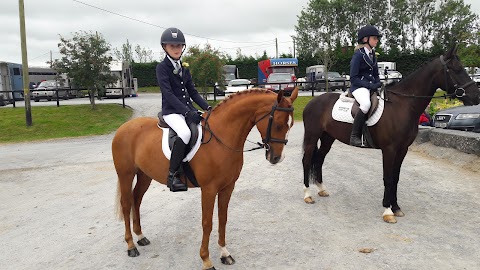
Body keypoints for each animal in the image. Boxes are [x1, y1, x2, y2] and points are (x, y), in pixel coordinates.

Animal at [113, 88, 298, 268]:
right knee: (126, 204)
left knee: (136, 199)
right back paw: (131, 246)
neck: (222, 137)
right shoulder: (209, 189)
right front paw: (206, 260)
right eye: (278, 124)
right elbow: (207, 223)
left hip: (145, 175)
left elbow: (222, 219)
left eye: (291, 125)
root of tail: (123, 128)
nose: (276, 158)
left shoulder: (228, 187)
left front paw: (224, 253)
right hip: (126, 174)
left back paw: (140, 236)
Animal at [302, 46, 478, 224]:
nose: (475, 95)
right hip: (312, 136)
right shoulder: (389, 149)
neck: (403, 105)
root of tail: (312, 102)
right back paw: (307, 195)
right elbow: (388, 177)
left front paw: (396, 207)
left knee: (319, 159)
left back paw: (322, 189)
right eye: (457, 69)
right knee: (307, 161)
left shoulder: (402, 149)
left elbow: (395, 177)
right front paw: (387, 211)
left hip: (327, 138)